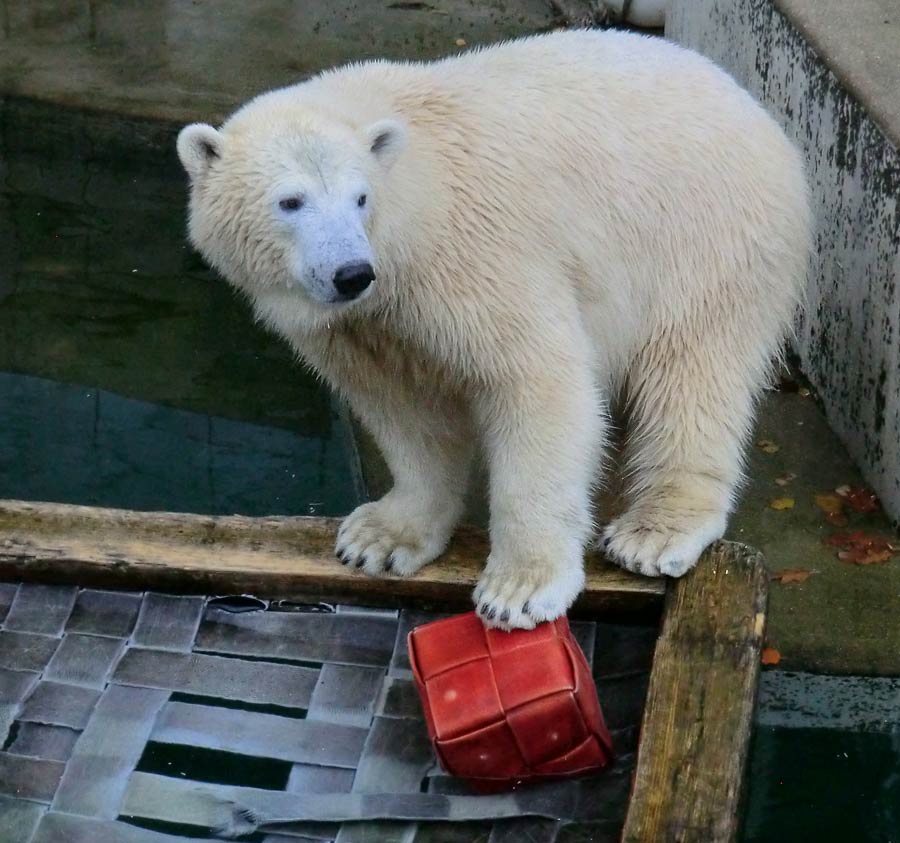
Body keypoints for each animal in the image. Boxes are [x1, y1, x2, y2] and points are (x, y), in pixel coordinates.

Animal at [176, 29, 808, 628]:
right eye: (291, 201)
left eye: (359, 198)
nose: (351, 273)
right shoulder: (365, 325)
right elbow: (404, 408)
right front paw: (382, 538)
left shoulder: (475, 257)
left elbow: (537, 379)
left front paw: (520, 589)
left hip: (703, 233)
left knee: (692, 369)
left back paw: (654, 531)